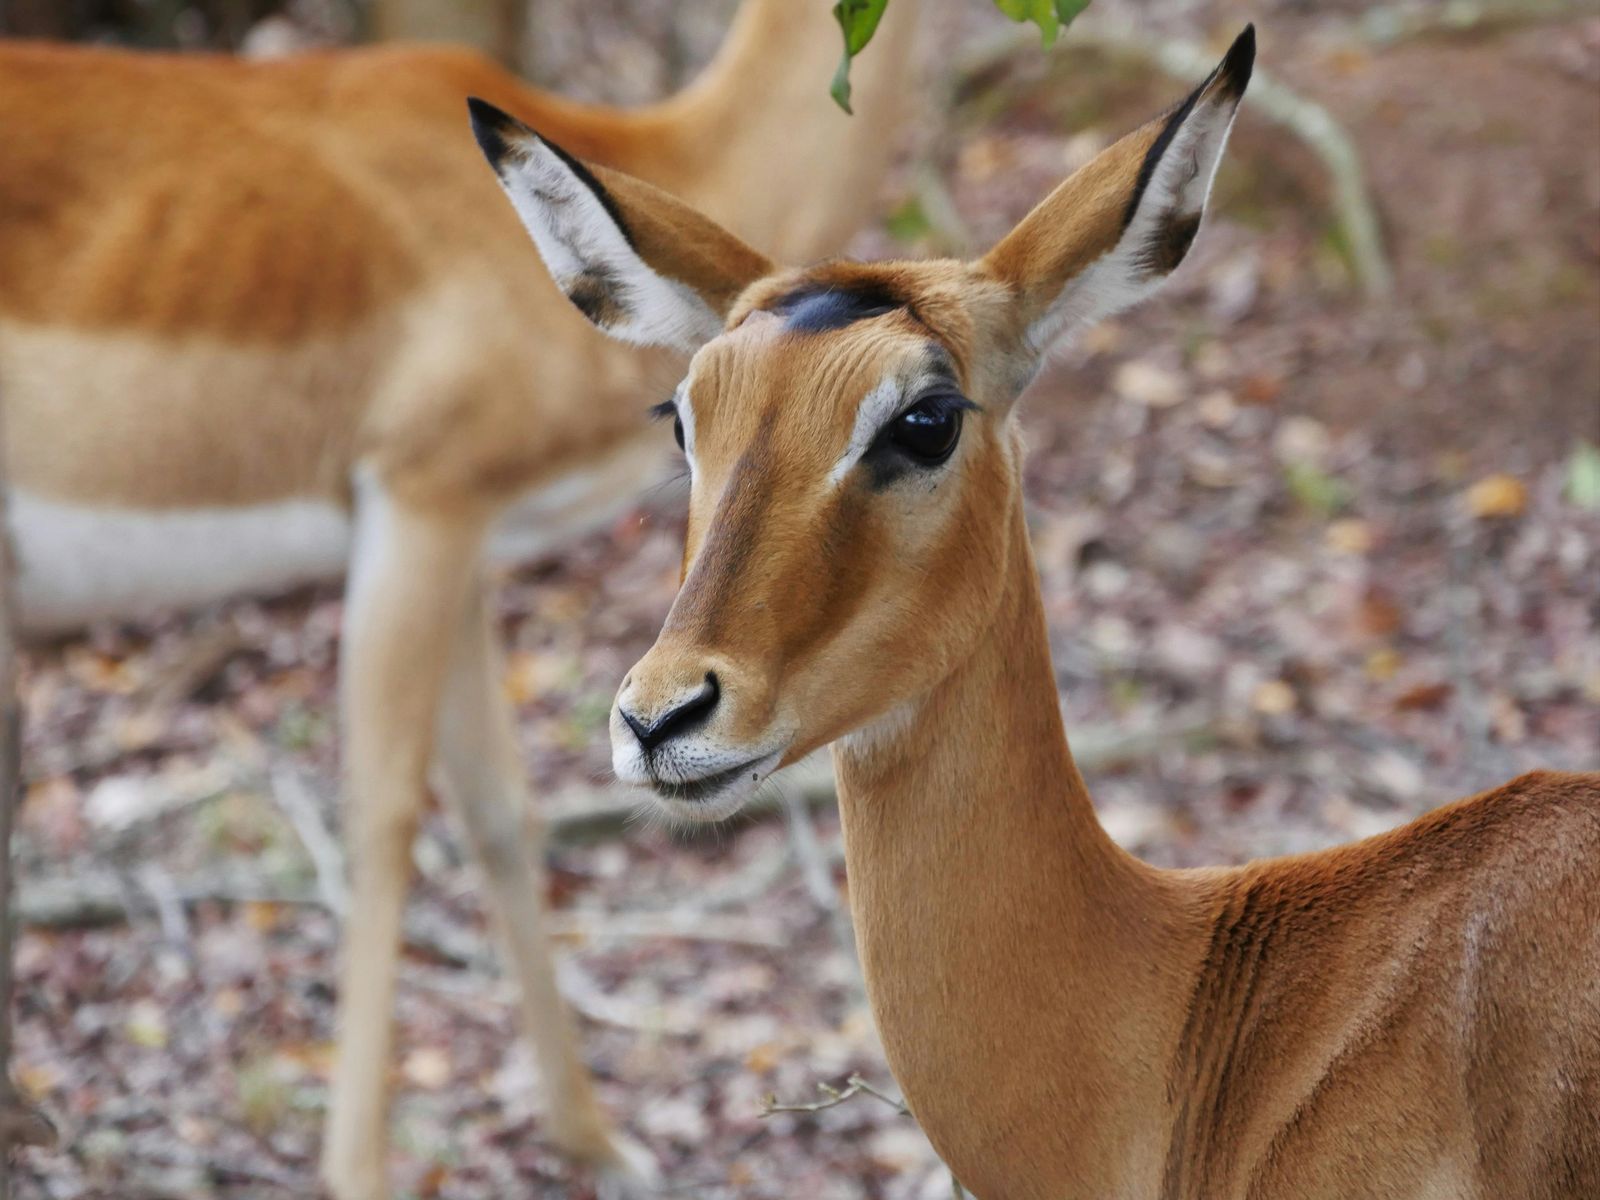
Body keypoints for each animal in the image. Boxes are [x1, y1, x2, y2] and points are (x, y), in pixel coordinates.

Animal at [0, 2, 921, 1196]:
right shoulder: (416, 508)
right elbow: (384, 818)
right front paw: (360, 1173)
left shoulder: (472, 551)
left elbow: (500, 810)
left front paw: (596, 1141)